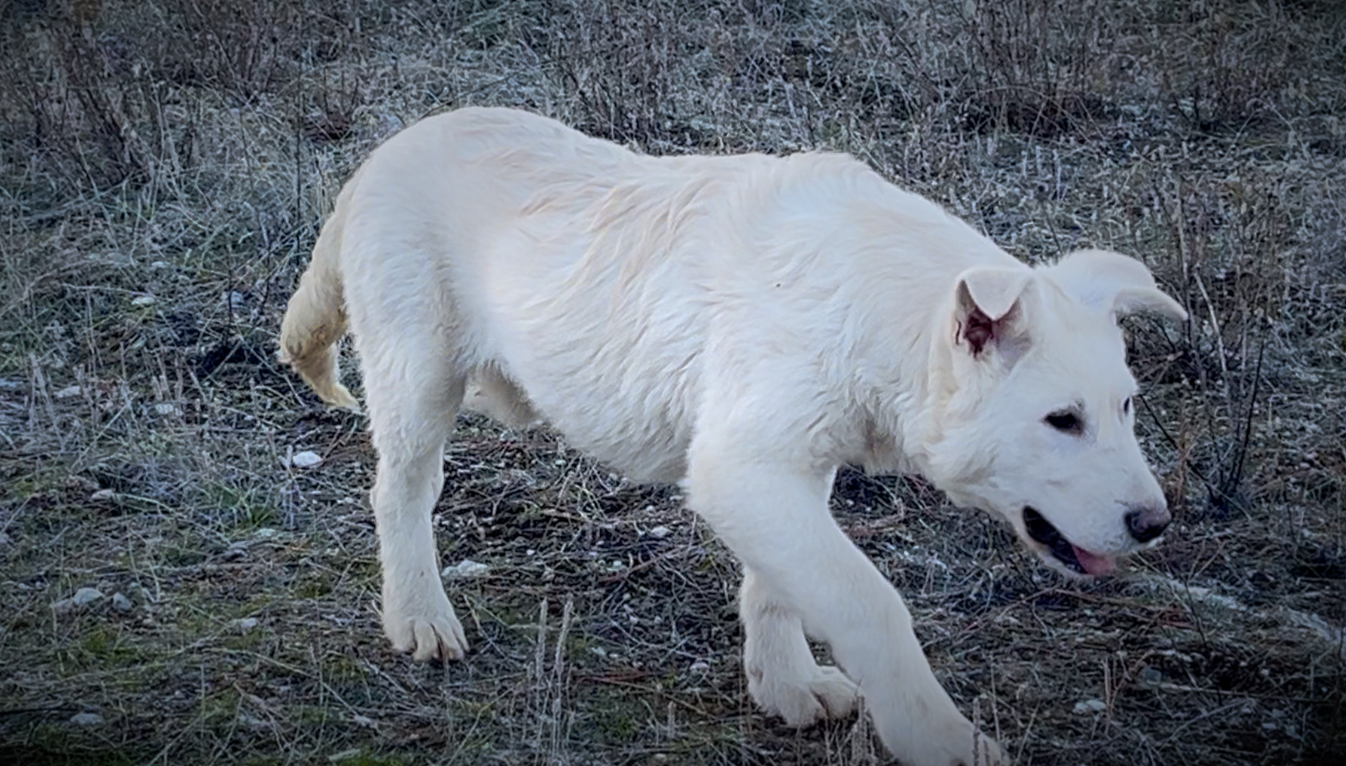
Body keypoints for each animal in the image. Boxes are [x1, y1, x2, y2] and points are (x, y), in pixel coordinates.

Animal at [278, 107, 1184, 764]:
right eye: (1061, 421)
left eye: (1127, 408)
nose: (1155, 525)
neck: (877, 304)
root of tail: (381, 157)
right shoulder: (742, 470)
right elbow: (869, 602)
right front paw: (941, 738)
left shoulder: (784, 469)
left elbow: (779, 588)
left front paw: (785, 688)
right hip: (418, 374)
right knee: (400, 491)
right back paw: (418, 616)